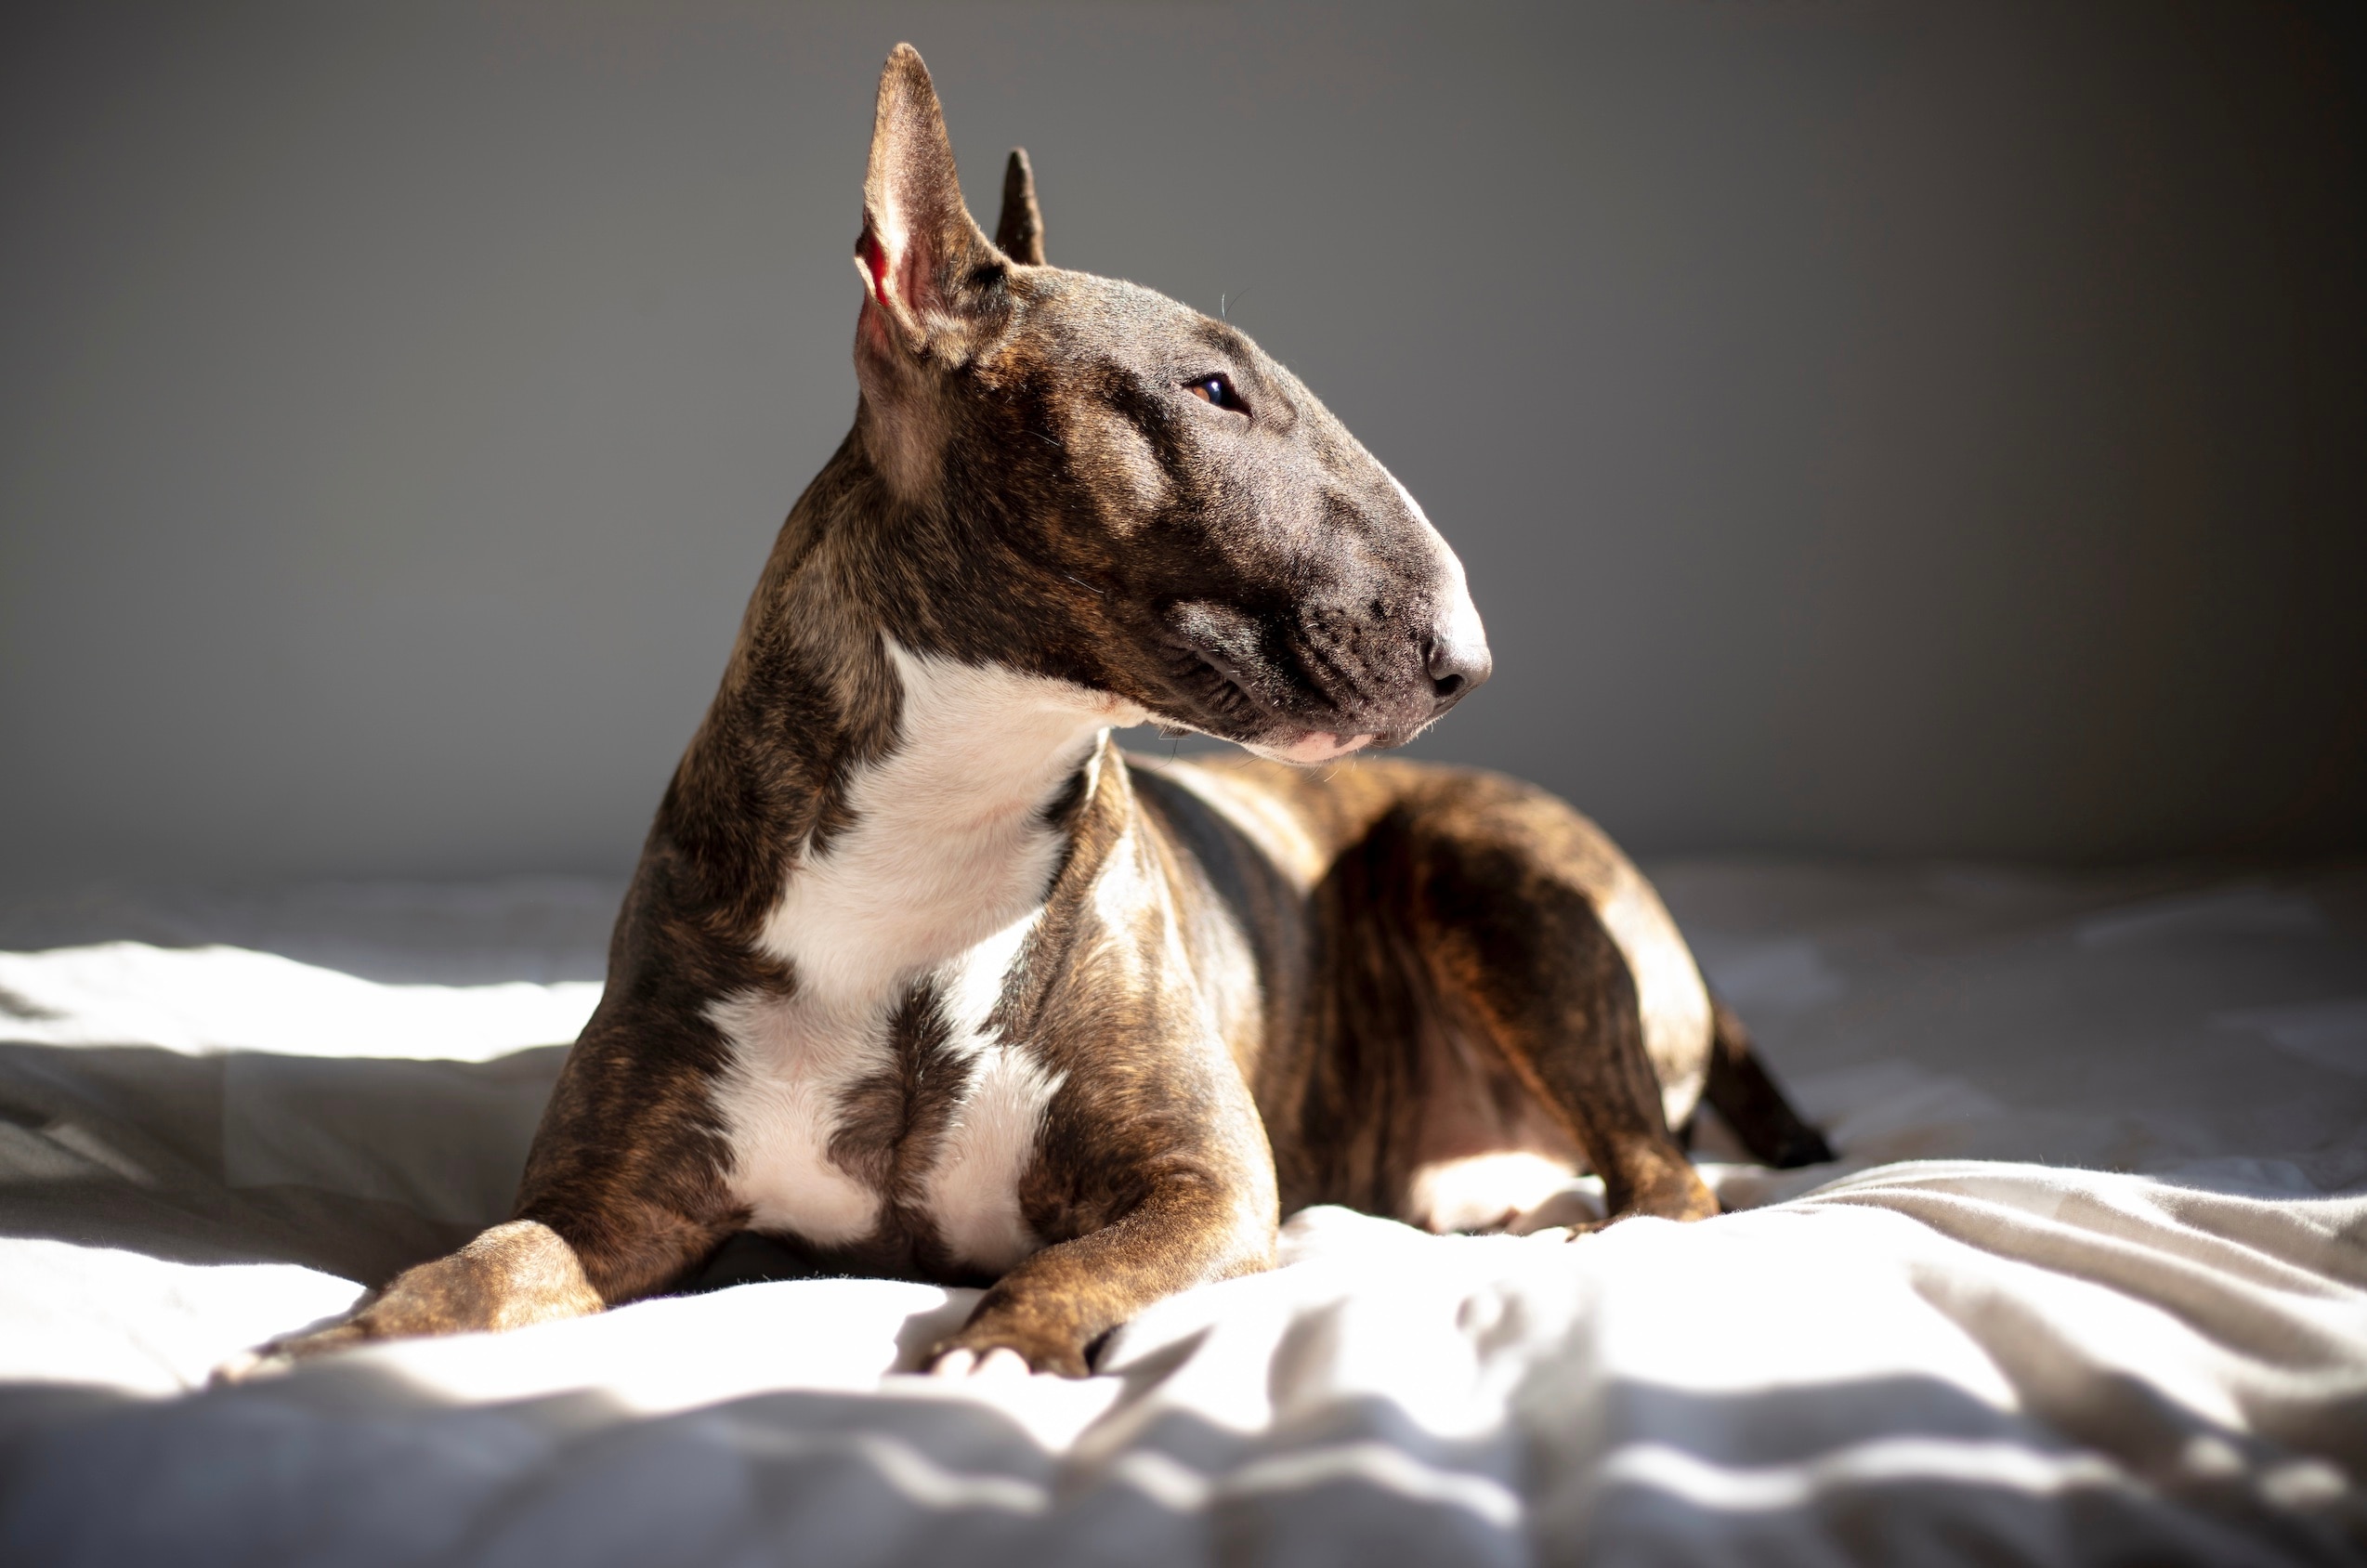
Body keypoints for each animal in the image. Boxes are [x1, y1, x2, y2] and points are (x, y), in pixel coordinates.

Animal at [230, 43, 1827, 1383]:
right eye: (1213, 391)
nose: (1468, 660)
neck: (948, 808)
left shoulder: (1208, 1185)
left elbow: (1066, 1270)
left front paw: (991, 1355)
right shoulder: (615, 1206)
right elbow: (487, 1265)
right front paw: (340, 1343)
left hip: (1494, 876)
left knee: (1672, 1184)